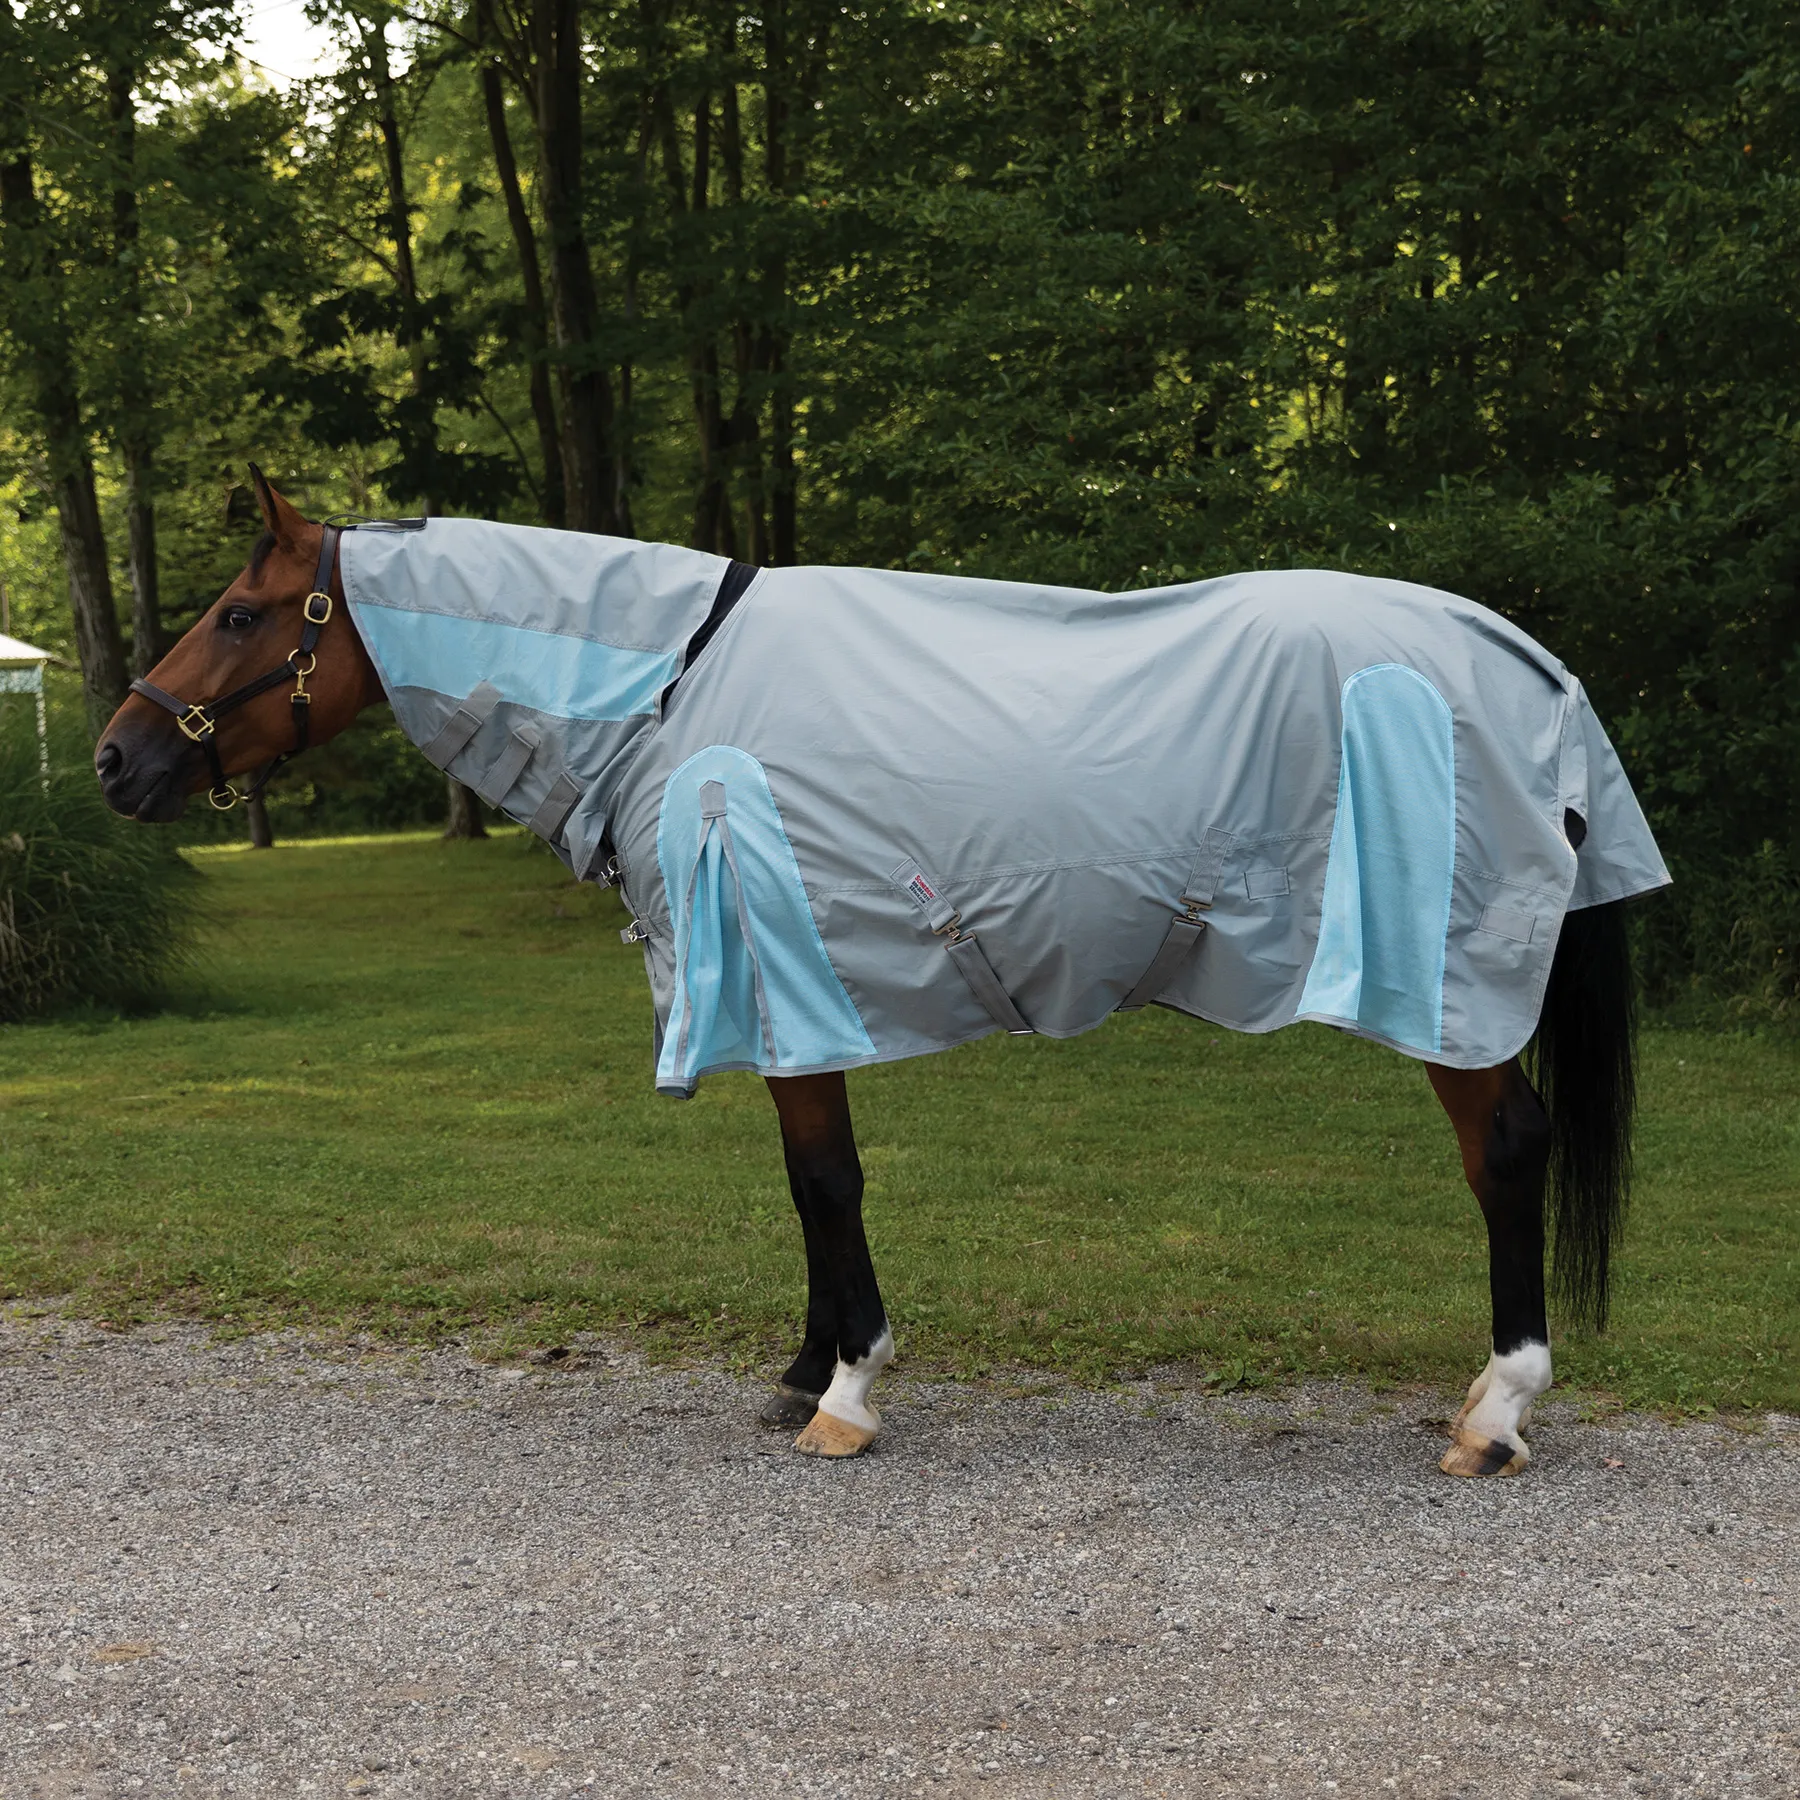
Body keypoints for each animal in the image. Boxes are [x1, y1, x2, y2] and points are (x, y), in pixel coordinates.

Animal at [96, 470, 1666, 1478]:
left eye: (241, 613)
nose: (117, 759)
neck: (671, 686)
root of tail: (1520, 657)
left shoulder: (781, 969)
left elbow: (825, 1181)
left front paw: (845, 1390)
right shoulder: (790, 992)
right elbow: (808, 1187)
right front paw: (804, 1368)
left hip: (1444, 976)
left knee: (1509, 1148)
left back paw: (1497, 1414)